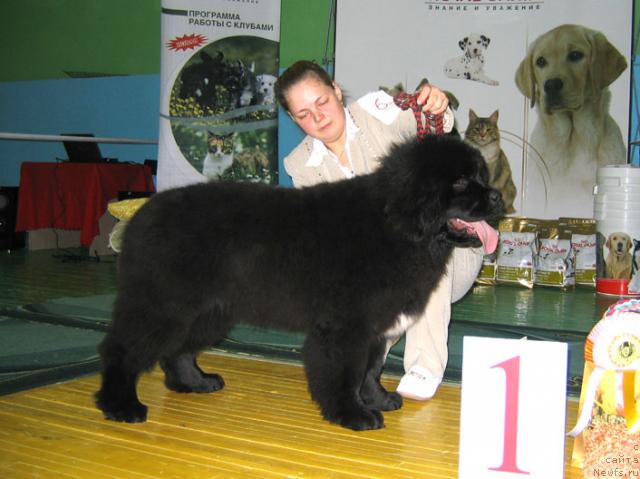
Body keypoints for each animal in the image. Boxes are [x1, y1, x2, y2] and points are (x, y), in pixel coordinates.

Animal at [96, 134, 504, 432]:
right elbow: (346, 372)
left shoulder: (375, 325)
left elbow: (371, 370)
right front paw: (352, 415)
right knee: (122, 349)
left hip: (208, 311)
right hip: (163, 305)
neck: (397, 225)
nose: (498, 196)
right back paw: (121, 406)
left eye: (482, 176)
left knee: (178, 350)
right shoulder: (347, 326)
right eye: (461, 181)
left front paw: (378, 400)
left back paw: (195, 382)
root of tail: (142, 213)